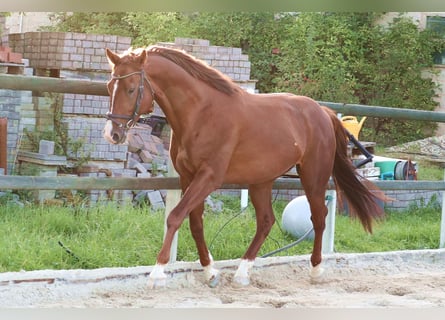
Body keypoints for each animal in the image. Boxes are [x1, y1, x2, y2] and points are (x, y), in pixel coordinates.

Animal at [102, 46, 384, 288]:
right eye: (109, 86)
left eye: (130, 89)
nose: (112, 134)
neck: (201, 113)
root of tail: (322, 112)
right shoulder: (188, 177)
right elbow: (195, 224)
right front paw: (210, 272)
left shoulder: (209, 177)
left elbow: (175, 217)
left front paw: (157, 273)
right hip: (262, 180)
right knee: (266, 221)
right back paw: (242, 272)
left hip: (313, 176)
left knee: (319, 217)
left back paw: (315, 270)